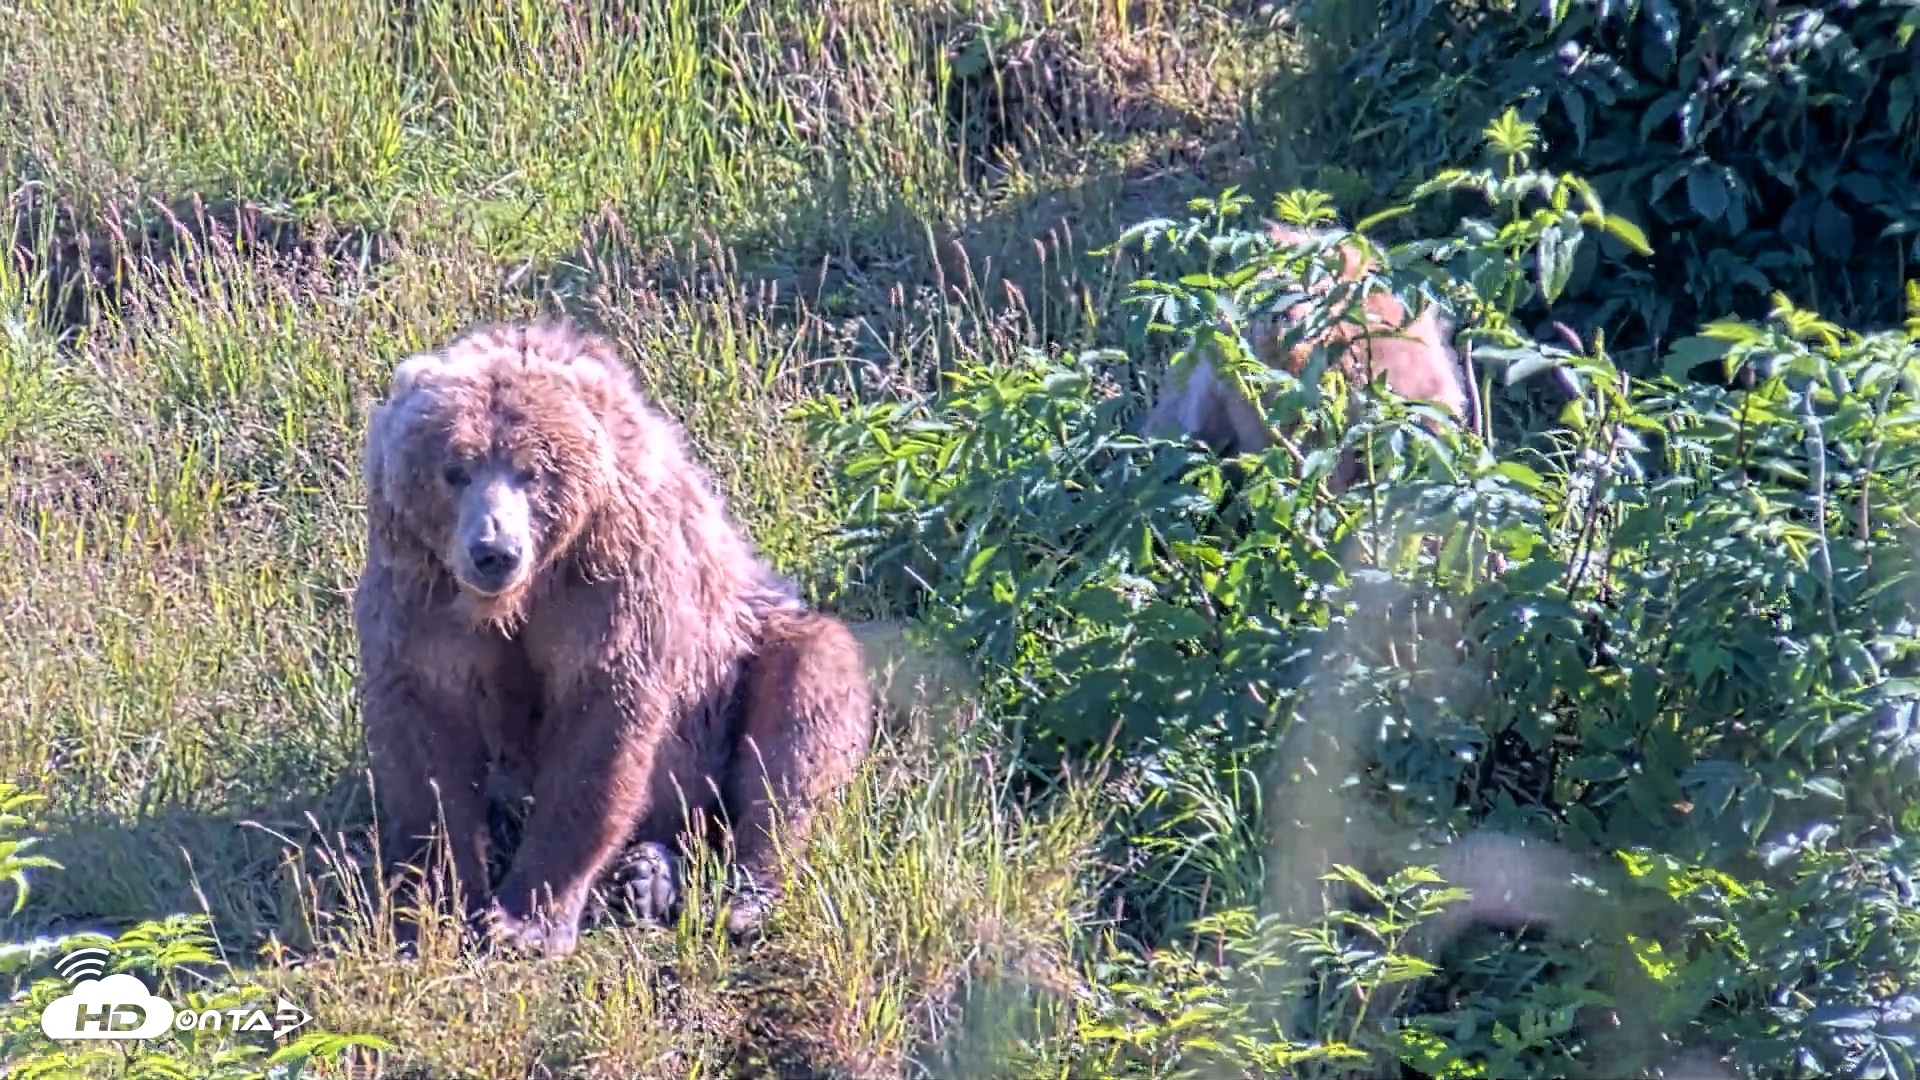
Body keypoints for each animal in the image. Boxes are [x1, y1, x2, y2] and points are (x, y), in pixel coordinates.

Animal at [353, 320, 875, 958]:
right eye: (456, 469)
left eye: (532, 471)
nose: (494, 550)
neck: (523, 595)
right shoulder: (423, 594)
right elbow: (428, 740)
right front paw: (442, 907)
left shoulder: (613, 581)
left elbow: (600, 730)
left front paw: (526, 921)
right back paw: (646, 877)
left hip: (747, 654)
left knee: (800, 723)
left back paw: (739, 897)